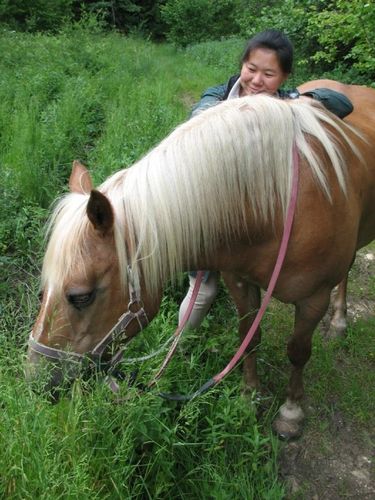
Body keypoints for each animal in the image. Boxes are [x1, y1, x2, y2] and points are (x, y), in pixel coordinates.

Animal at [27, 81, 375, 438]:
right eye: (43, 292)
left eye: (81, 296)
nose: (36, 382)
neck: (275, 205)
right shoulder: (241, 282)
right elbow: (249, 338)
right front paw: (249, 396)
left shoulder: (313, 299)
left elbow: (298, 352)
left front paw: (291, 412)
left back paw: (339, 321)